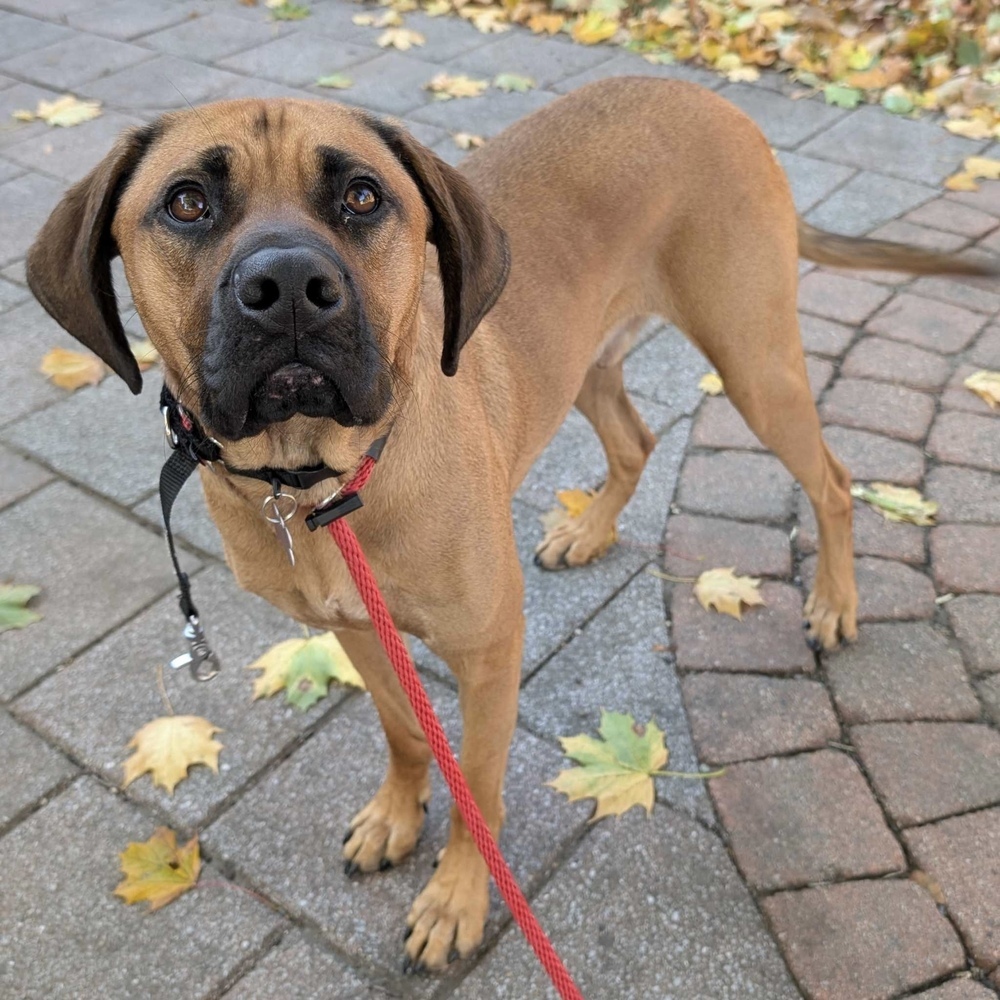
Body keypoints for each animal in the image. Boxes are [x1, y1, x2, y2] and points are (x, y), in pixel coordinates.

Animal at [27, 76, 996, 968]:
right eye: (187, 202)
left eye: (362, 196)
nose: (292, 285)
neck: (317, 480)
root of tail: (713, 98)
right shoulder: (356, 630)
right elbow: (404, 730)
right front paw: (396, 815)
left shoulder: (489, 648)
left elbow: (480, 787)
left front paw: (458, 895)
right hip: (588, 363)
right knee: (638, 442)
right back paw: (589, 530)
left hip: (755, 362)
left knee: (833, 481)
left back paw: (834, 602)